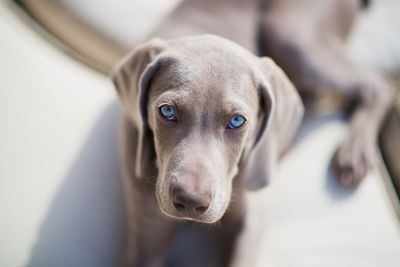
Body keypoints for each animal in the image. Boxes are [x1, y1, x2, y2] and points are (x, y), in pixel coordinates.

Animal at [111, 0, 394, 266]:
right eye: (167, 111)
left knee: (375, 85)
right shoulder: (146, 241)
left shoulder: (251, 218)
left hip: (290, 34)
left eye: (237, 121)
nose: (191, 200)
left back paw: (354, 151)